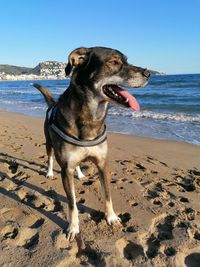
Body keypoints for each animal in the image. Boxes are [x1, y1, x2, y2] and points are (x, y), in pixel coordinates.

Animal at [33, 47, 150, 242]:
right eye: (114, 62)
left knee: (78, 164)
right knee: (50, 157)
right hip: (49, 143)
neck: (91, 117)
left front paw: (111, 217)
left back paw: (80, 174)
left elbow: (108, 195)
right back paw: (49, 172)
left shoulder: (103, 164)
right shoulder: (66, 169)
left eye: (126, 60)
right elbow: (72, 203)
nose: (148, 73)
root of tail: (52, 104)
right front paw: (73, 227)